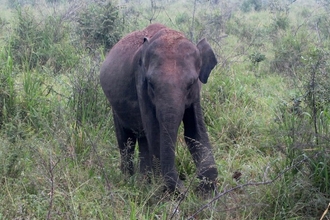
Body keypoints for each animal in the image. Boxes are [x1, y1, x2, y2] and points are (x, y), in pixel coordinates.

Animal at [100, 23, 219, 193]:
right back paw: (129, 180)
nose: (186, 188)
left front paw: (207, 187)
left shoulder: (196, 94)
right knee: (126, 138)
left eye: (191, 83)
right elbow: (155, 131)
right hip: (115, 107)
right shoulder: (140, 83)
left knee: (143, 138)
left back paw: (144, 181)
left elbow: (194, 130)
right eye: (151, 83)